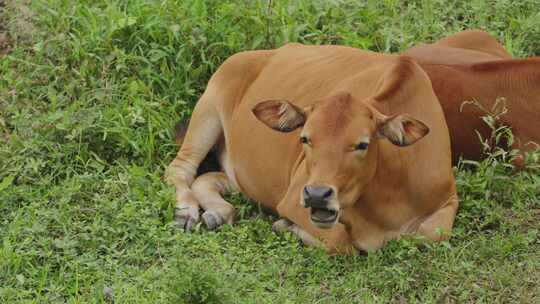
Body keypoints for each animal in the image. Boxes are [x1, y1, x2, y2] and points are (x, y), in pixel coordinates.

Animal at [165, 44, 456, 254]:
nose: (317, 195)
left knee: (208, 178)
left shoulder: (449, 199)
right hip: (207, 108)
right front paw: (284, 225)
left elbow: (432, 234)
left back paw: (218, 213)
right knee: (179, 170)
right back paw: (186, 211)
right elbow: (341, 242)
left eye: (363, 143)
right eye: (305, 139)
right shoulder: (293, 201)